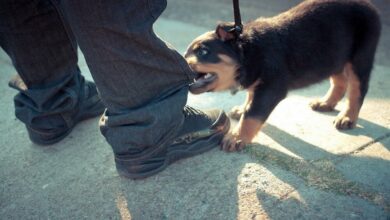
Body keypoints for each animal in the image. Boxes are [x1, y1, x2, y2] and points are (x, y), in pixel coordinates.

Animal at [185, 0, 380, 151]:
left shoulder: (271, 88)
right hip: (334, 57)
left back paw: (347, 118)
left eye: (203, 51)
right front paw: (241, 109)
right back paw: (326, 103)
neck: (249, 51)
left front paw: (236, 137)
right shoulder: (259, 82)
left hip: (360, 58)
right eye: (186, 53)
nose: (181, 64)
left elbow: (252, 114)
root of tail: (368, 5)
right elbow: (250, 98)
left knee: (357, 90)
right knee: (340, 81)